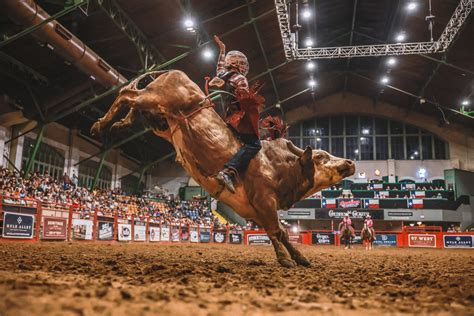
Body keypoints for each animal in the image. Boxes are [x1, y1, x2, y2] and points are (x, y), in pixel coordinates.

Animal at [90, 69, 356, 266]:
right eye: (321, 156)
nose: (350, 163)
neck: (278, 167)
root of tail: (173, 72)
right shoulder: (265, 202)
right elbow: (277, 231)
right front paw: (286, 260)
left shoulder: (255, 211)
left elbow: (278, 232)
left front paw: (299, 258)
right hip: (154, 98)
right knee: (126, 94)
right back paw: (99, 125)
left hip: (160, 120)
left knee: (134, 103)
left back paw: (120, 124)